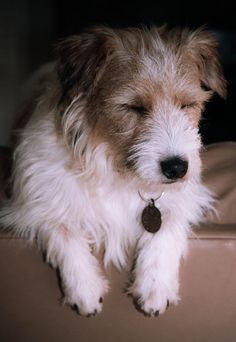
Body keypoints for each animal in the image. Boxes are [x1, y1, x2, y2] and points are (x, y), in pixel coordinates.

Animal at [0, 25, 225, 316]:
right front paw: (84, 286)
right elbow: (63, 229)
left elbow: (169, 223)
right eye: (133, 107)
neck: (118, 170)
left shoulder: (186, 197)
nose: (176, 168)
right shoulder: (37, 198)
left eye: (186, 105)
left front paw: (155, 286)